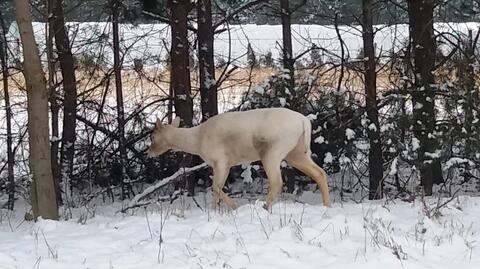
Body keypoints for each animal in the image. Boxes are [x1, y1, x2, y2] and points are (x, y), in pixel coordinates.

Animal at [148, 107, 332, 209]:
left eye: (152, 136)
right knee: (319, 173)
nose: (149, 153)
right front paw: (223, 208)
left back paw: (265, 206)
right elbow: (217, 186)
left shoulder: (220, 159)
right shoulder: (228, 163)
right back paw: (327, 206)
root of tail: (304, 122)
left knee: (277, 181)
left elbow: (215, 187)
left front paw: (223, 209)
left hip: (273, 151)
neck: (198, 140)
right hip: (296, 152)